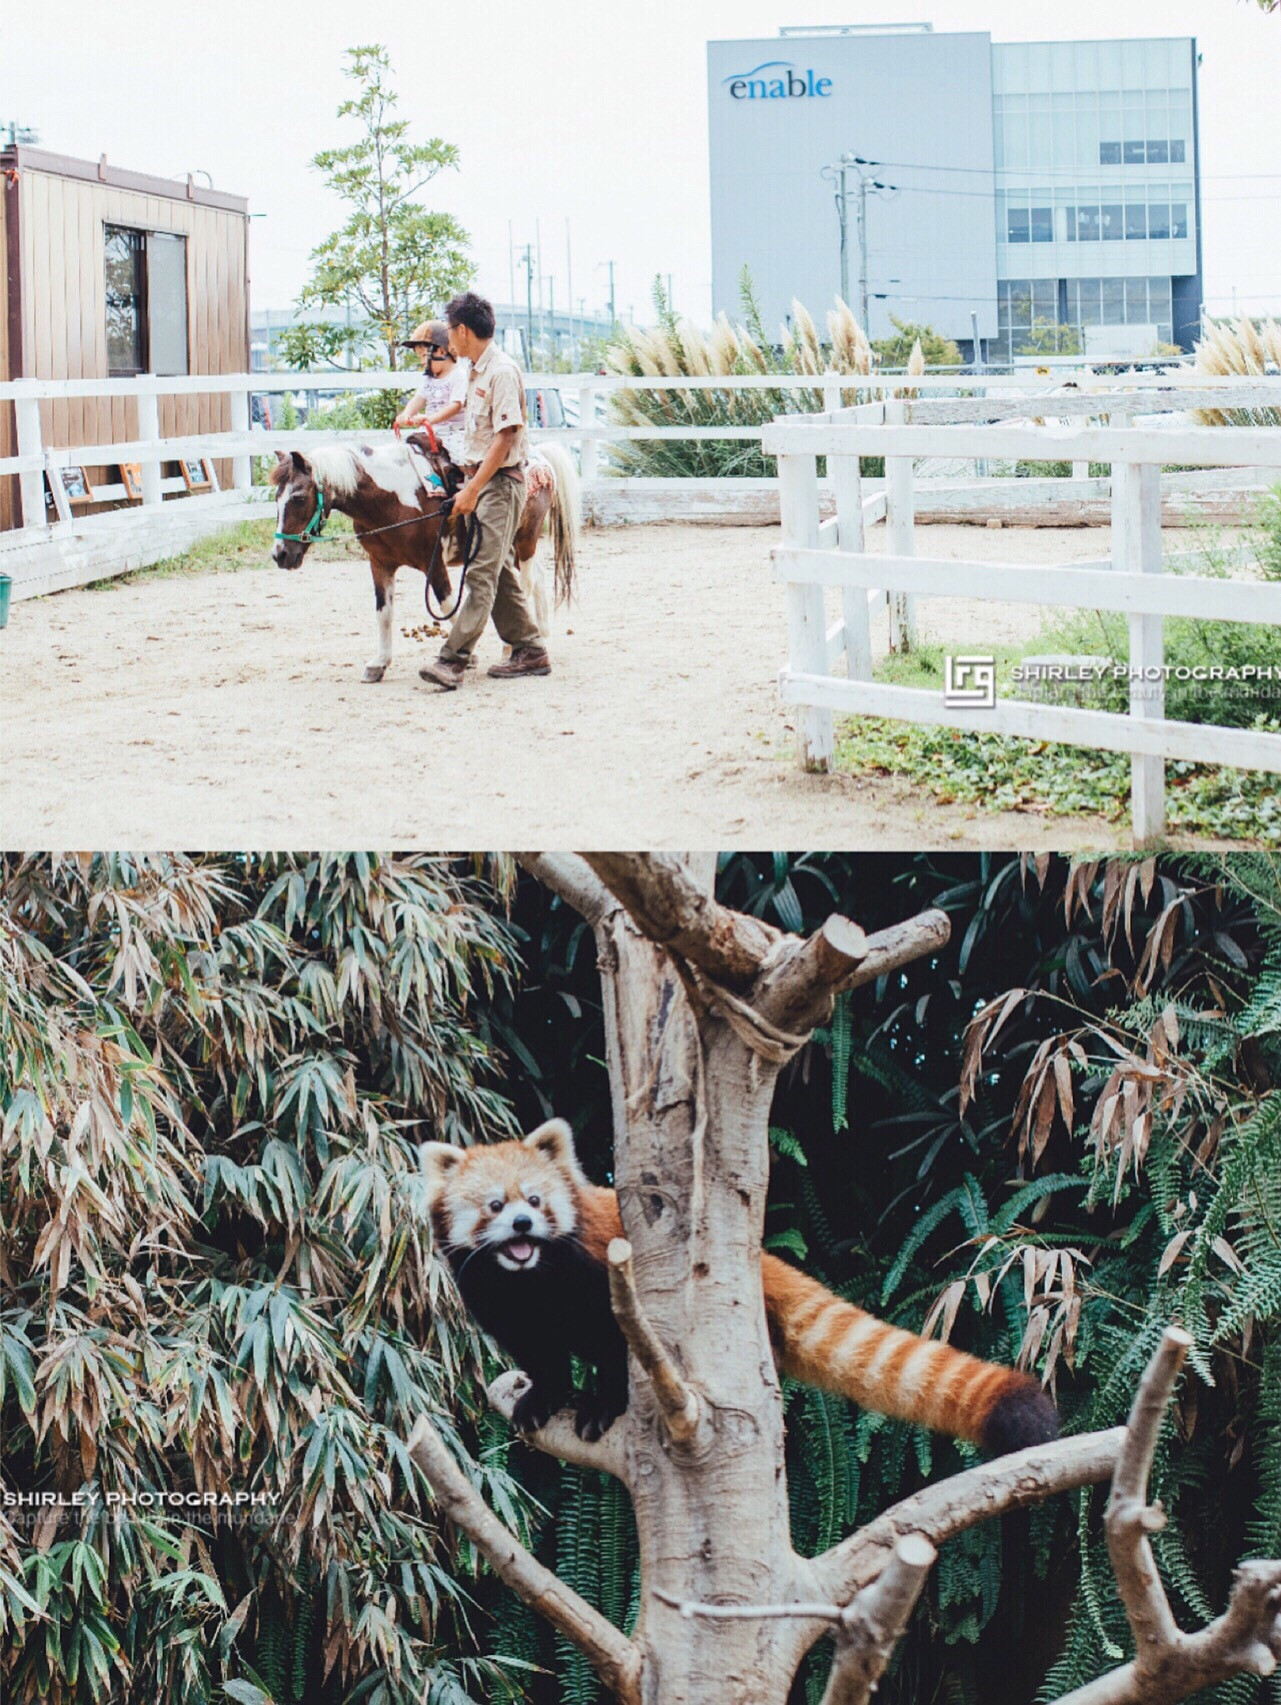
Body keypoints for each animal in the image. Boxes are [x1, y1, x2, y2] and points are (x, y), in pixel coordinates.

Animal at [276, 436, 586, 682]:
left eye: (299, 497)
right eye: (276, 498)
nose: (280, 555)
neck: (391, 497)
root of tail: (539, 456)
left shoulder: (433, 562)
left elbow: (447, 603)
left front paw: (465, 656)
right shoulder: (380, 564)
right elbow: (384, 613)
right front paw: (379, 663)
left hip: (525, 539)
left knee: (527, 582)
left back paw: (517, 646)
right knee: (534, 581)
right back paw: (535, 638)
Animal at [416, 1118, 1057, 1452]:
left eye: (535, 1200)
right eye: (495, 1205)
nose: (523, 1225)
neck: (531, 1281)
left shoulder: (598, 1276)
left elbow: (614, 1348)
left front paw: (604, 1403)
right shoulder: (500, 1302)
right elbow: (539, 1353)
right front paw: (541, 1397)